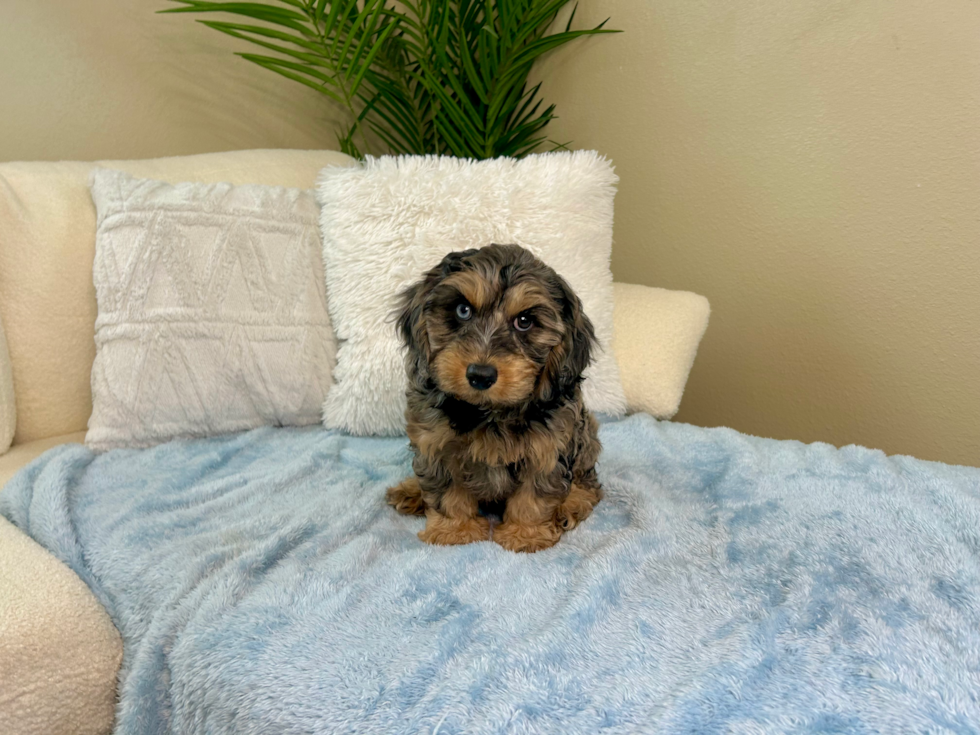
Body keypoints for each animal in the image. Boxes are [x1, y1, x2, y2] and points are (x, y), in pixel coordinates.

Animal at [384, 243, 600, 552]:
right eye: (463, 310)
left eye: (524, 321)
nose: (480, 375)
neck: (489, 412)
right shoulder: (435, 444)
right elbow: (447, 491)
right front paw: (454, 530)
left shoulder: (548, 447)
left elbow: (534, 497)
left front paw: (525, 535)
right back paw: (411, 491)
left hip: (586, 435)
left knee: (588, 481)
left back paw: (572, 504)